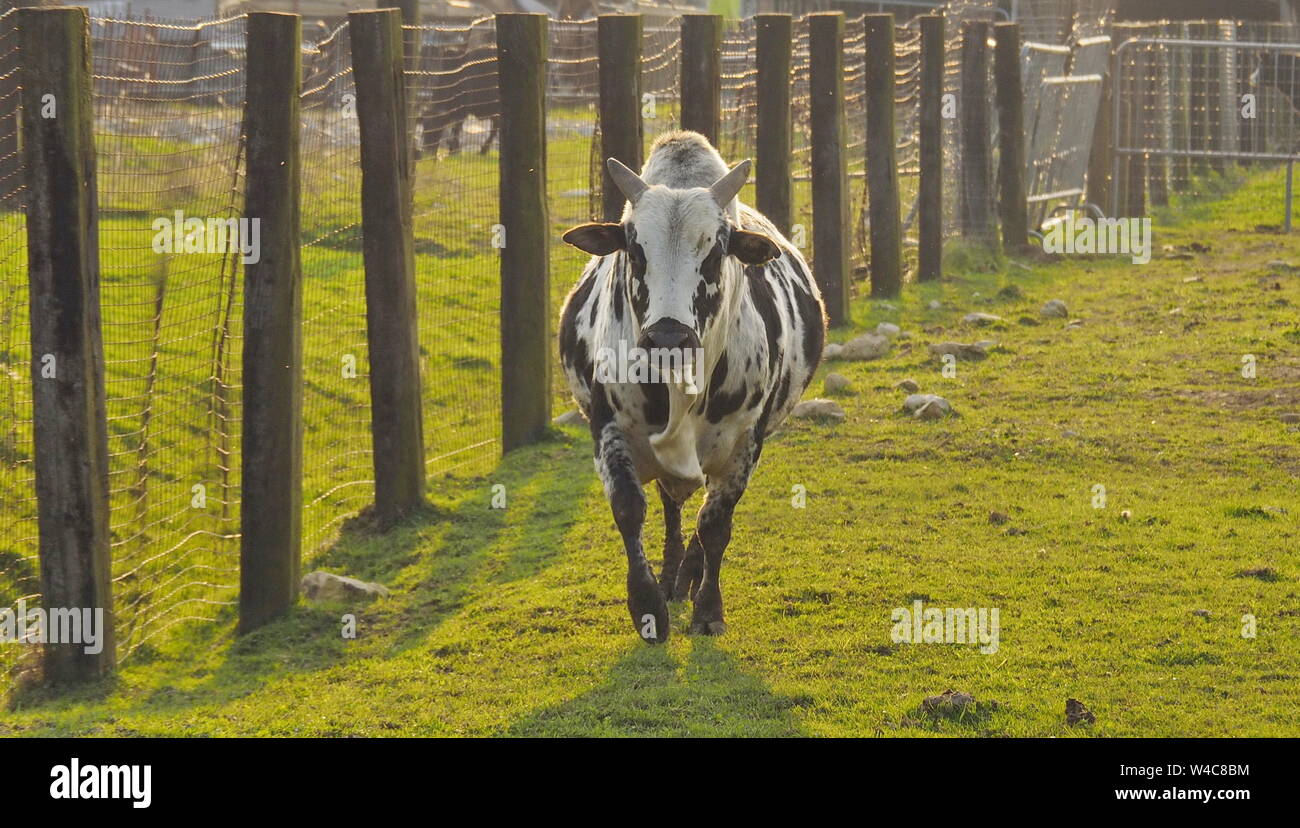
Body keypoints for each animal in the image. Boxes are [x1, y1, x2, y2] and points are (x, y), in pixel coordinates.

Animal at [558, 131, 826, 643]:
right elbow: (630, 509)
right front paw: (648, 606)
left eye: (716, 251)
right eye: (634, 249)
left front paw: (708, 608)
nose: (667, 337)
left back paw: (690, 576)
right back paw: (671, 579)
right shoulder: (607, 427)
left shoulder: (745, 442)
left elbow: (715, 525)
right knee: (670, 505)